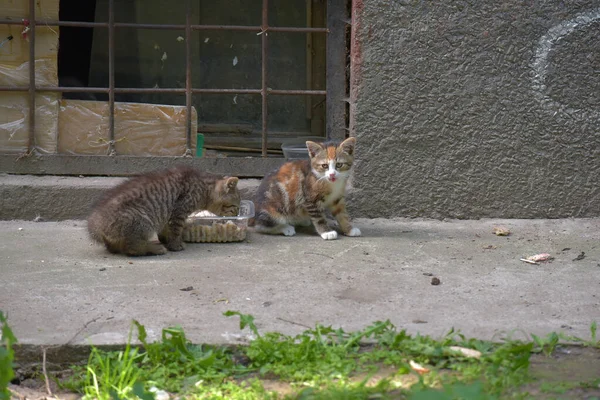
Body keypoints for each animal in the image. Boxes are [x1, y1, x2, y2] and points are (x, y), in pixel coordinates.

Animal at [88, 166, 240, 256]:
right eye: (236, 206)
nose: (238, 214)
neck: (204, 187)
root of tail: (97, 225)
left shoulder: (169, 215)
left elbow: (167, 229)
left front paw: (167, 240)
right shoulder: (179, 211)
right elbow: (176, 230)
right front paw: (175, 245)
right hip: (142, 220)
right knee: (132, 248)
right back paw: (154, 248)